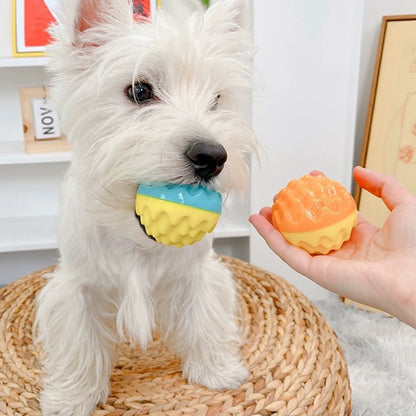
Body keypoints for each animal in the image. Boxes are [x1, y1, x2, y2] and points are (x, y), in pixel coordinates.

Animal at [35, 0, 256, 414]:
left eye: (217, 99)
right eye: (139, 90)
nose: (212, 156)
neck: (134, 233)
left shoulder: (197, 273)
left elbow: (204, 319)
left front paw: (216, 371)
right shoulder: (77, 285)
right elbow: (81, 342)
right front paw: (72, 397)